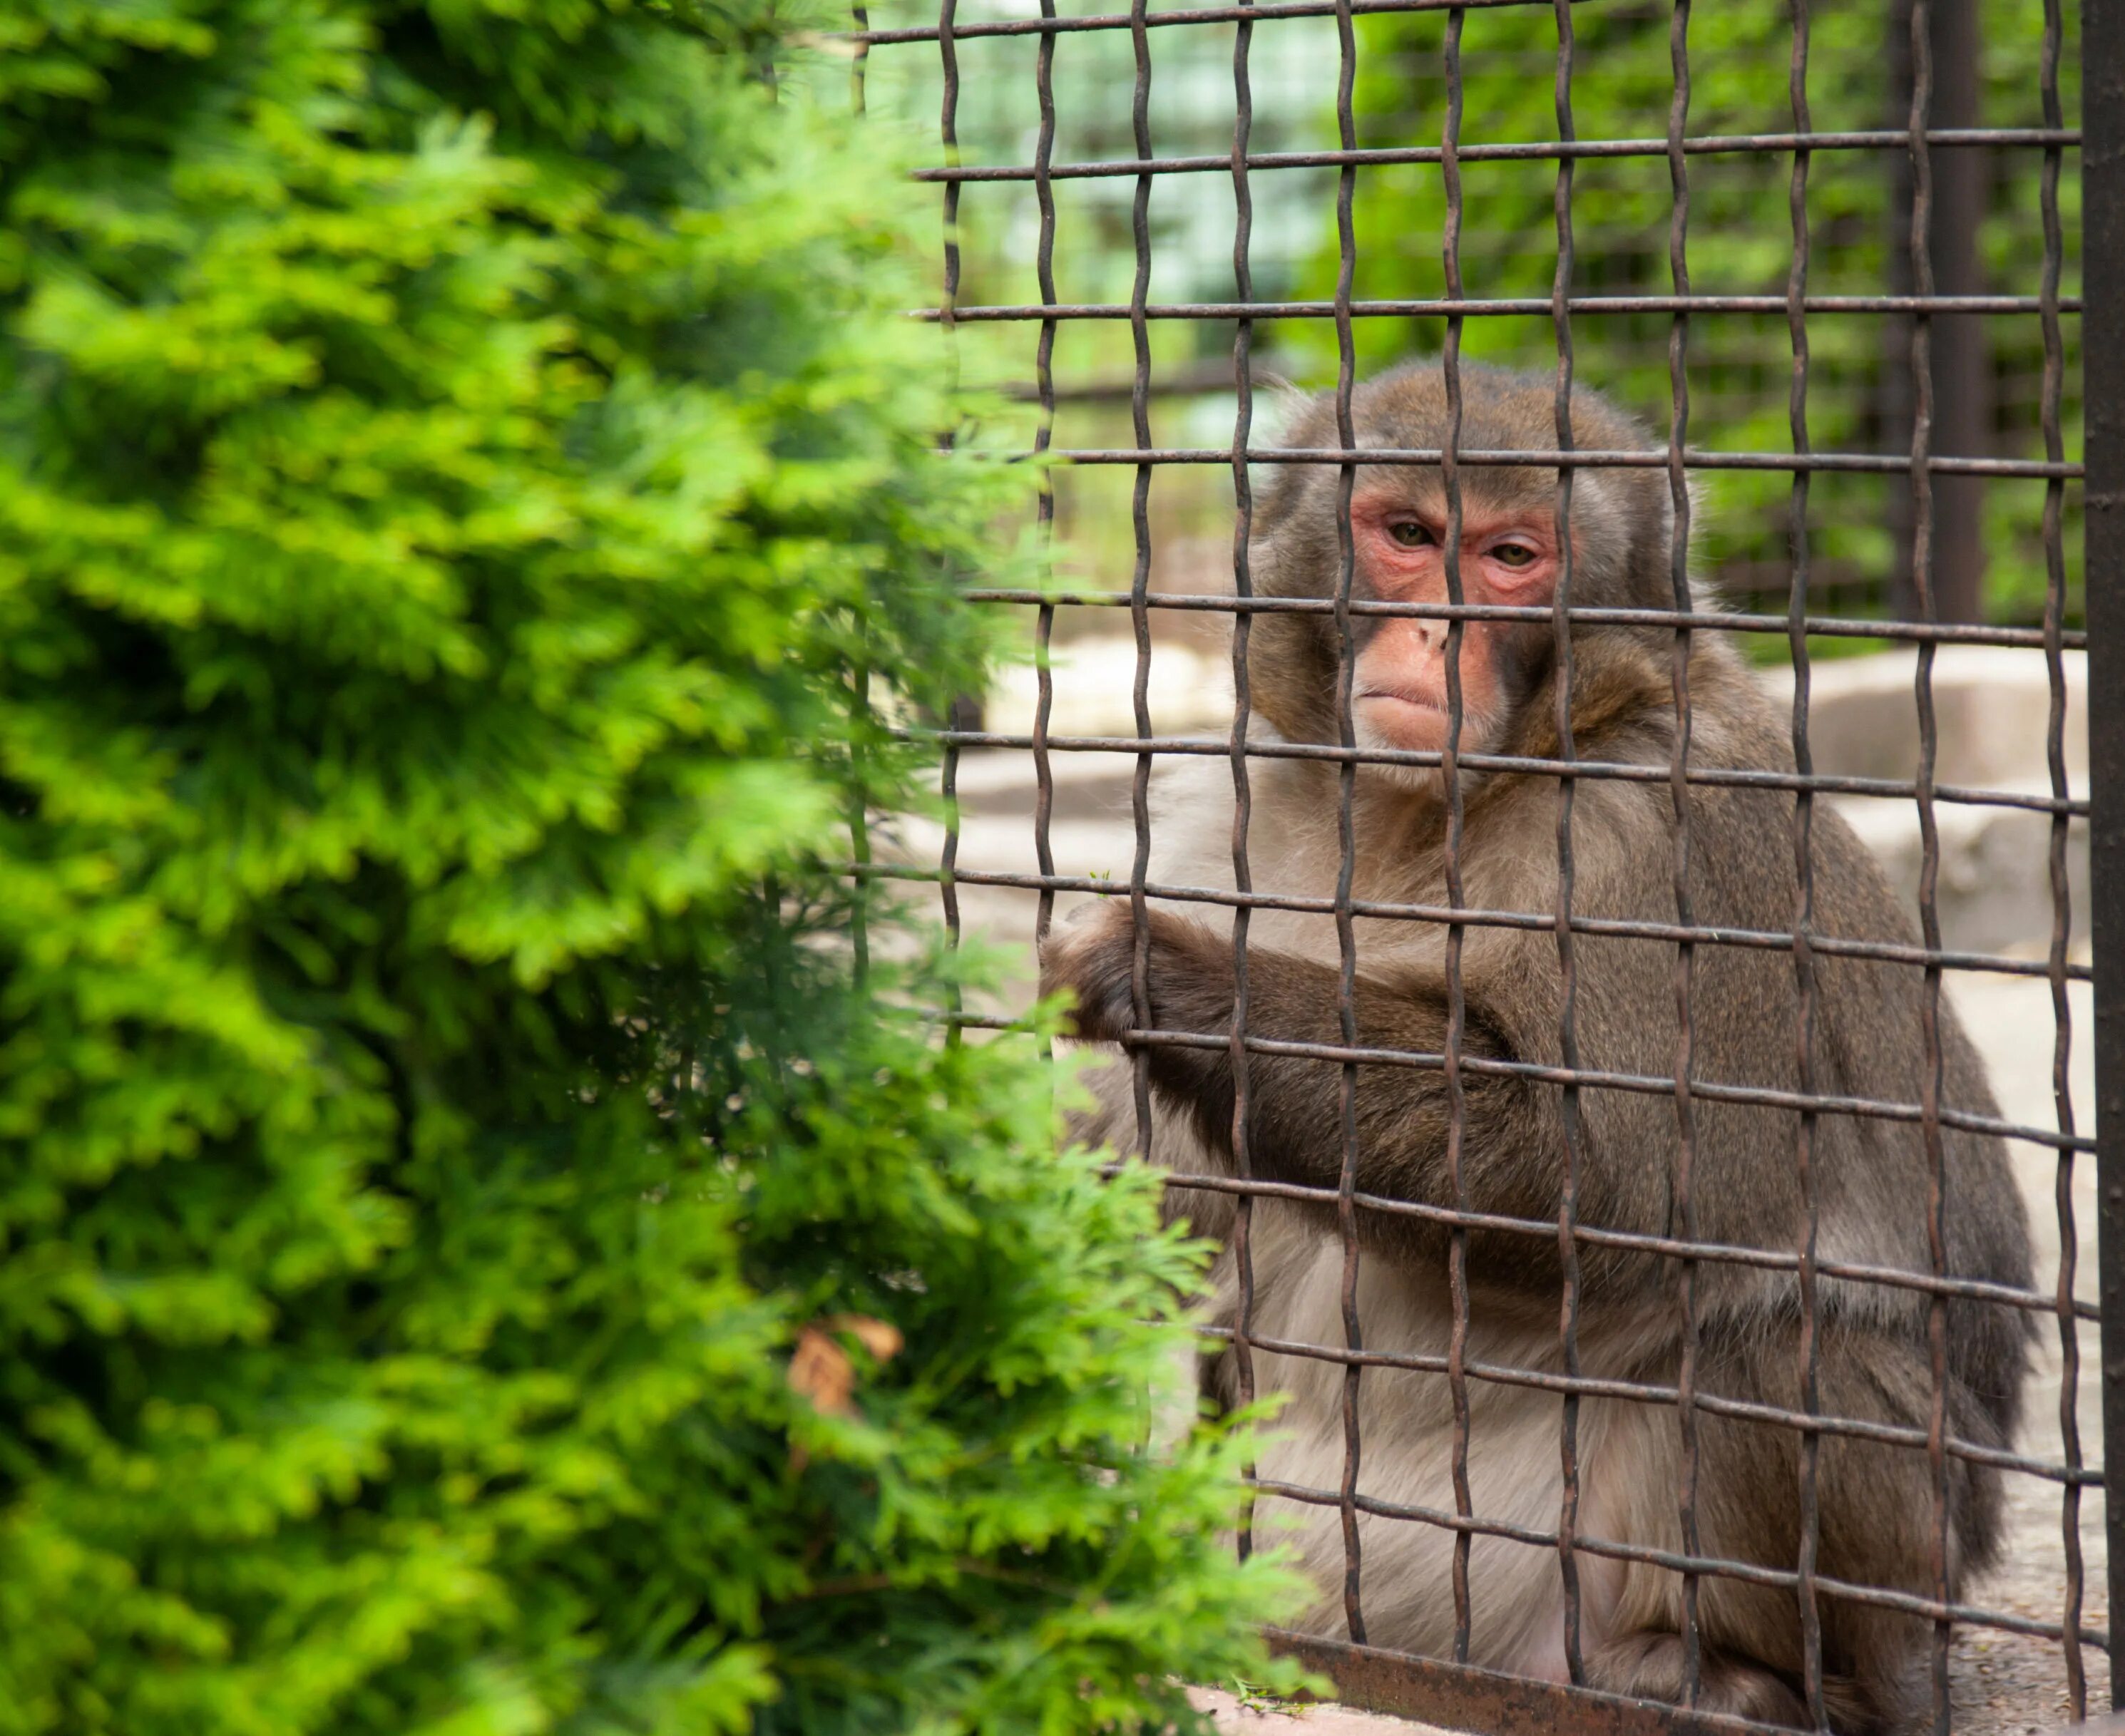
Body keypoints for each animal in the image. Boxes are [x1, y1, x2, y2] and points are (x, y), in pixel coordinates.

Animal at [1037, 363, 2031, 1734]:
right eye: (1407, 534)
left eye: (1512, 557)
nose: (1432, 636)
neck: (1421, 810)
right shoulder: (1235, 801)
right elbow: (1165, 1209)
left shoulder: (1662, 832)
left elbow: (1605, 1187)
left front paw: (1166, 971)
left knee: (1789, 1353)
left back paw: (1729, 1678)